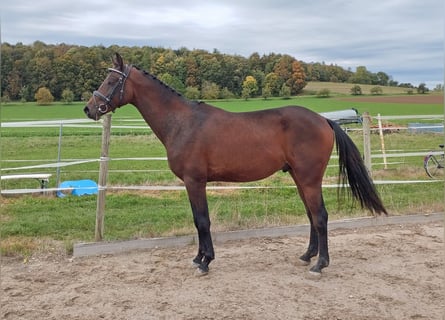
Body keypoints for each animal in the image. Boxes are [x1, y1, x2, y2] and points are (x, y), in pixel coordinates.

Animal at [84, 52, 386, 276]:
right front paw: (199, 258)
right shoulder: (193, 183)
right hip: (300, 178)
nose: (89, 108)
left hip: (309, 178)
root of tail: (323, 119)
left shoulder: (195, 181)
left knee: (320, 216)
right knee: (312, 215)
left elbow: (202, 220)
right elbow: (197, 221)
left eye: (112, 80)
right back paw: (306, 255)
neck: (182, 122)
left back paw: (319, 265)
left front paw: (205, 262)